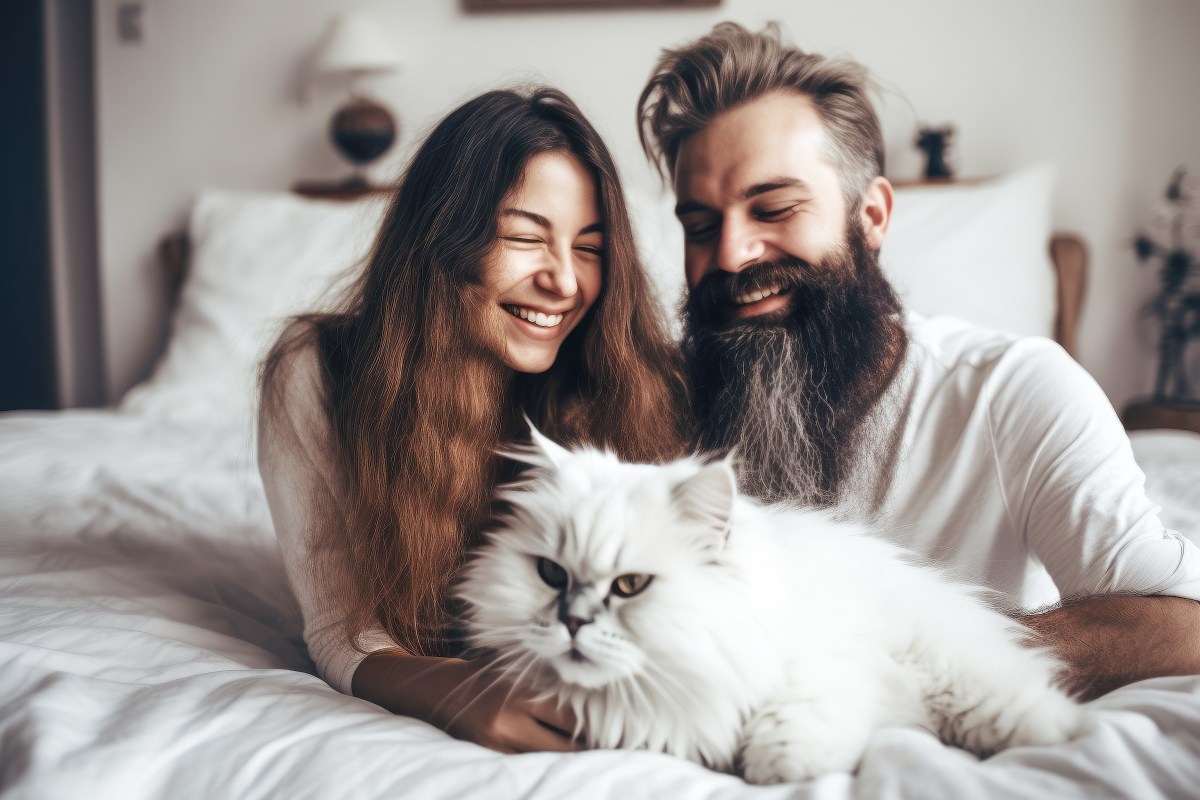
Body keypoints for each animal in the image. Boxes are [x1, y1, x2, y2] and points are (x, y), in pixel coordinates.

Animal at [451, 431, 1089, 782]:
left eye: (630, 585)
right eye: (551, 575)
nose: (573, 621)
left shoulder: (817, 668)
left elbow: (791, 727)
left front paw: (773, 767)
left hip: (950, 669)